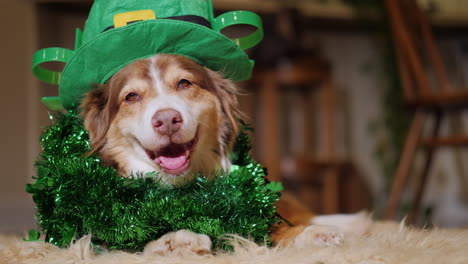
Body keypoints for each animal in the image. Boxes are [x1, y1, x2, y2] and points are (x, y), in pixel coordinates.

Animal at [82, 54, 372, 256]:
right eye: (131, 96)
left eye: (184, 83)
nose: (166, 120)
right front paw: (174, 240)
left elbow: (270, 228)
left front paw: (311, 236)